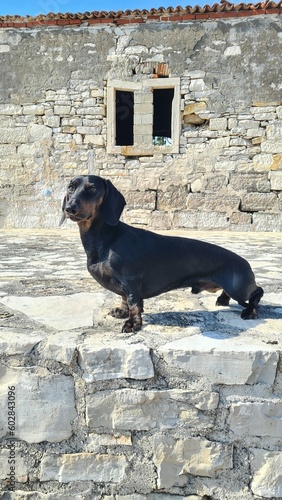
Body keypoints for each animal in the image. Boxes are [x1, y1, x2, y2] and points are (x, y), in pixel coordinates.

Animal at [60, 176, 264, 332]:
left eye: (92, 188)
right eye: (71, 187)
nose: (69, 208)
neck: (107, 238)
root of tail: (245, 262)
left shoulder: (131, 281)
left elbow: (134, 304)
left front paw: (132, 324)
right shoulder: (125, 286)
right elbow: (126, 300)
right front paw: (122, 312)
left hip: (239, 289)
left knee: (257, 293)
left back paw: (249, 311)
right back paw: (222, 299)